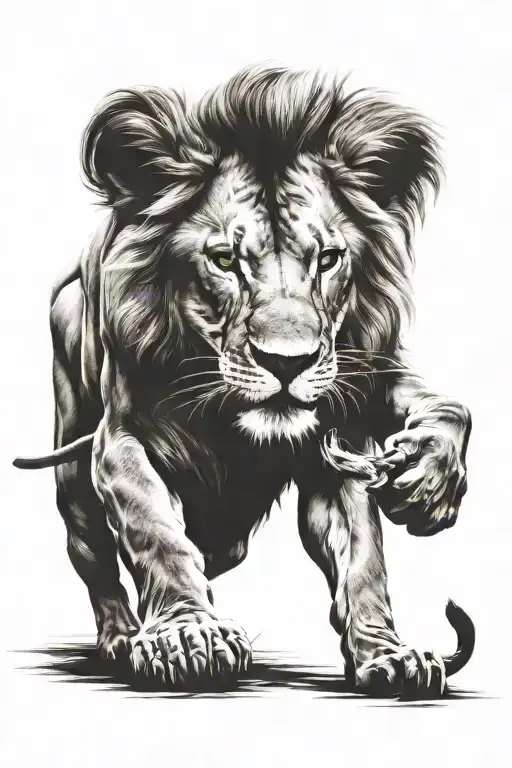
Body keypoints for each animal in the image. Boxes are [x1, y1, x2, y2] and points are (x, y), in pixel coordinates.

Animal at [14, 64, 474, 697]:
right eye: (226, 260)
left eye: (327, 259)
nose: (287, 362)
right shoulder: (119, 440)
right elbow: (157, 532)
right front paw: (190, 635)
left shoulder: (344, 426)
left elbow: (364, 558)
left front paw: (389, 652)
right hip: (73, 476)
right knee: (96, 560)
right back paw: (120, 637)